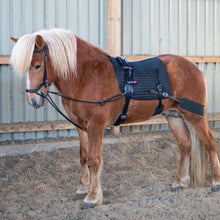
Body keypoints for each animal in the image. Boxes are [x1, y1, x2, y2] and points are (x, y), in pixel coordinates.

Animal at [9, 28, 220, 208]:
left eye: (37, 66)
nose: (33, 100)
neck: (86, 76)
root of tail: (195, 69)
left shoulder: (96, 125)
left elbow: (94, 160)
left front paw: (92, 197)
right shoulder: (81, 126)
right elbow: (83, 157)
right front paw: (83, 188)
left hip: (194, 116)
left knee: (209, 142)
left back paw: (215, 182)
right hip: (174, 116)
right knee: (185, 145)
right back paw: (180, 182)